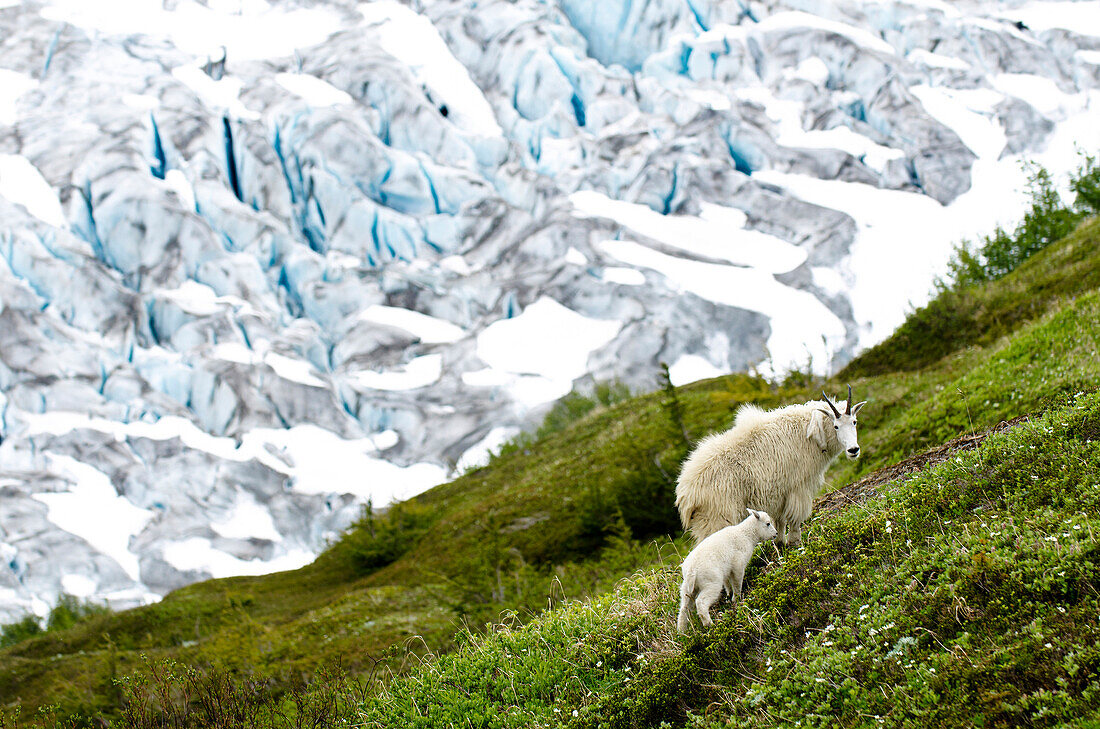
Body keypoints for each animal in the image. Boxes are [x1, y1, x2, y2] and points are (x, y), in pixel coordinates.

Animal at [668, 387, 866, 547]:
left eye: (854, 421)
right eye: (836, 426)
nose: (853, 450)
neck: (809, 433)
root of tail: (685, 495)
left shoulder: (779, 493)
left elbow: (779, 520)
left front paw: (780, 542)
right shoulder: (798, 486)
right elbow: (795, 518)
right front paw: (795, 542)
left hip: (705, 521)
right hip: (718, 517)